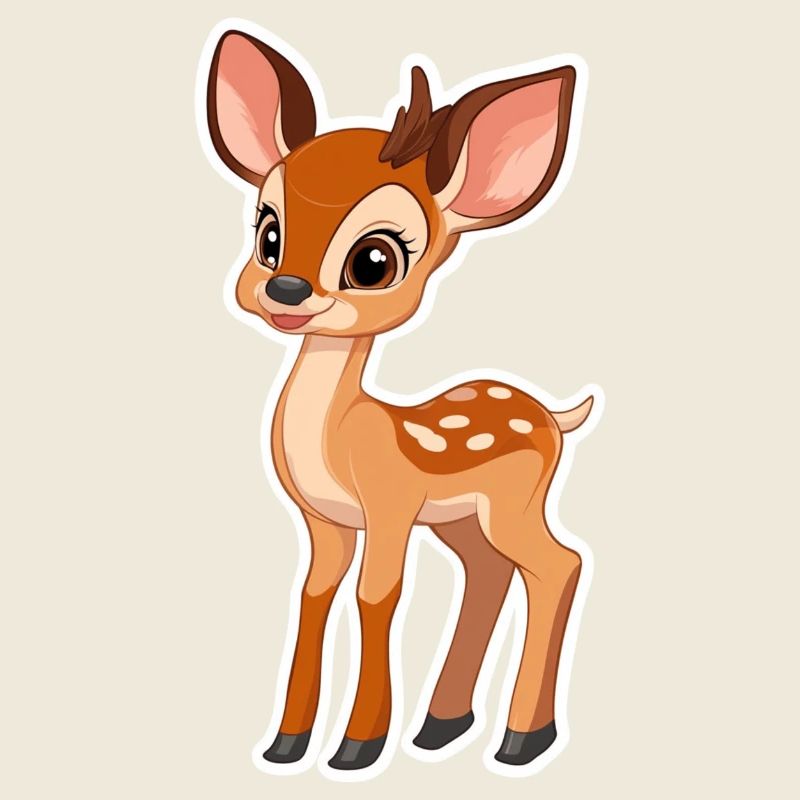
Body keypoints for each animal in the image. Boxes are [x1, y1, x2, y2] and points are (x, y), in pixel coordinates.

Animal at [202, 27, 595, 773]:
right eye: (269, 232)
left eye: (375, 260)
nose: (287, 290)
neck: (339, 435)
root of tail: (552, 416)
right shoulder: (325, 523)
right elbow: (314, 598)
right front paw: (286, 744)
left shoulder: (389, 508)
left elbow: (376, 597)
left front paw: (357, 747)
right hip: (463, 520)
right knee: (489, 571)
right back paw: (442, 725)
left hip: (513, 503)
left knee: (559, 563)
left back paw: (522, 740)